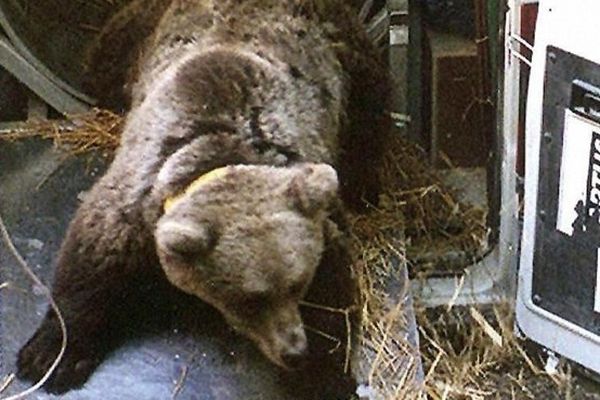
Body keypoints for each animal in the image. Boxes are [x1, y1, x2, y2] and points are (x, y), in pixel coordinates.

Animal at [15, 0, 390, 394]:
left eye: (297, 284)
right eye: (250, 299)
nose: (293, 350)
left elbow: (333, 295)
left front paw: (324, 375)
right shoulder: (139, 197)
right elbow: (91, 260)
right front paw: (51, 357)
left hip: (347, 54)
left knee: (370, 110)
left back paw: (365, 184)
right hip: (135, 36)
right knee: (102, 64)